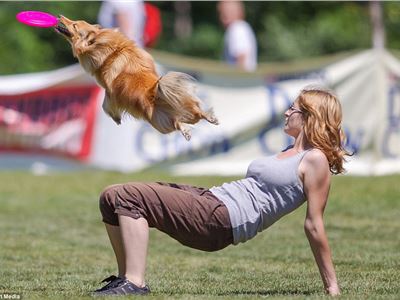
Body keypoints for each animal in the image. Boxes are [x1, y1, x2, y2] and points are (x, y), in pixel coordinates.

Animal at [54, 15, 217, 139]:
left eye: (74, 25)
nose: (60, 16)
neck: (111, 51)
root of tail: (155, 92)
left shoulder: (110, 92)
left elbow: (105, 105)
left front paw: (116, 118)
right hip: (187, 109)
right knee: (197, 114)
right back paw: (211, 119)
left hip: (159, 123)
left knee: (176, 124)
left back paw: (186, 132)